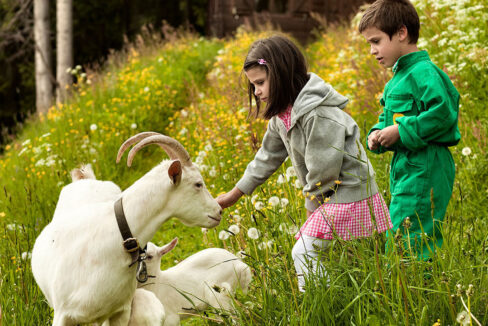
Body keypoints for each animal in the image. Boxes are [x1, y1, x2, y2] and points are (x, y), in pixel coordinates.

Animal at [30, 131, 221, 324]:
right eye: (198, 184)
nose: (219, 211)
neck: (112, 239)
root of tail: (84, 179)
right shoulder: (62, 314)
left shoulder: (121, 311)